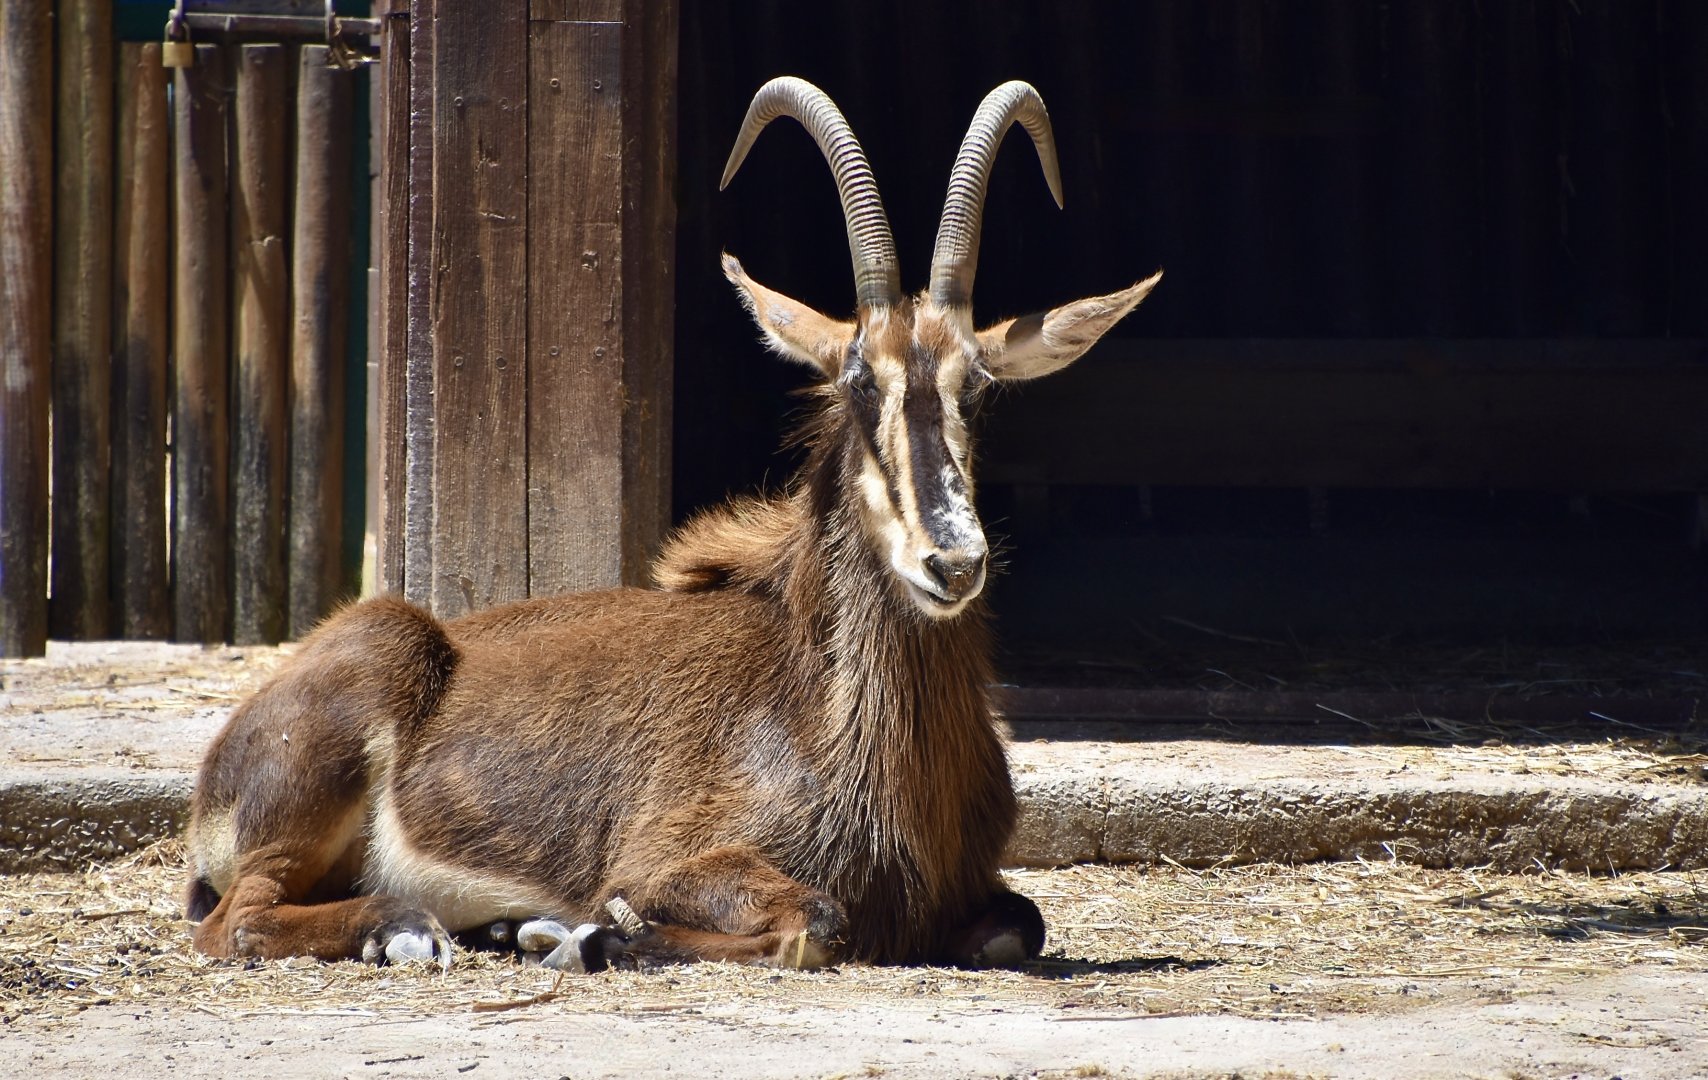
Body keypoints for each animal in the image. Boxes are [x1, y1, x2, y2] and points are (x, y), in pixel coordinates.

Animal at [184, 77, 1161, 972]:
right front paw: (586, 933)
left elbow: (1018, 923)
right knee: (237, 919)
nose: (952, 563)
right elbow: (815, 920)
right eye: (856, 382)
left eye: (978, 389)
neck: (821, 699)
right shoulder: (673, 857)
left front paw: (554, 931)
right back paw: (409, 926)